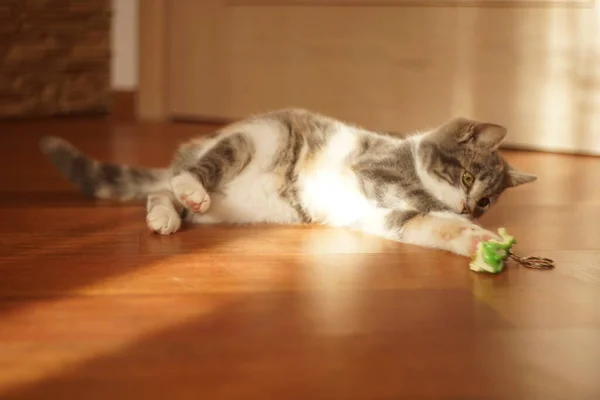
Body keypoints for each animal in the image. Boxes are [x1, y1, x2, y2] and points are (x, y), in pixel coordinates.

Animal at [42, 108, 540, 256]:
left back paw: (167, 215)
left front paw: (478, 241)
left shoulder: (378, 218)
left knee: (160, 190)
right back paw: (187, 191)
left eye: (486, 202)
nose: (468, 208)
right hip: (256, 137)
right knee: (184, 176)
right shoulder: (376, 171)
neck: (412, 155)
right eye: (468, 176)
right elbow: (418, 199)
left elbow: (424, 225)